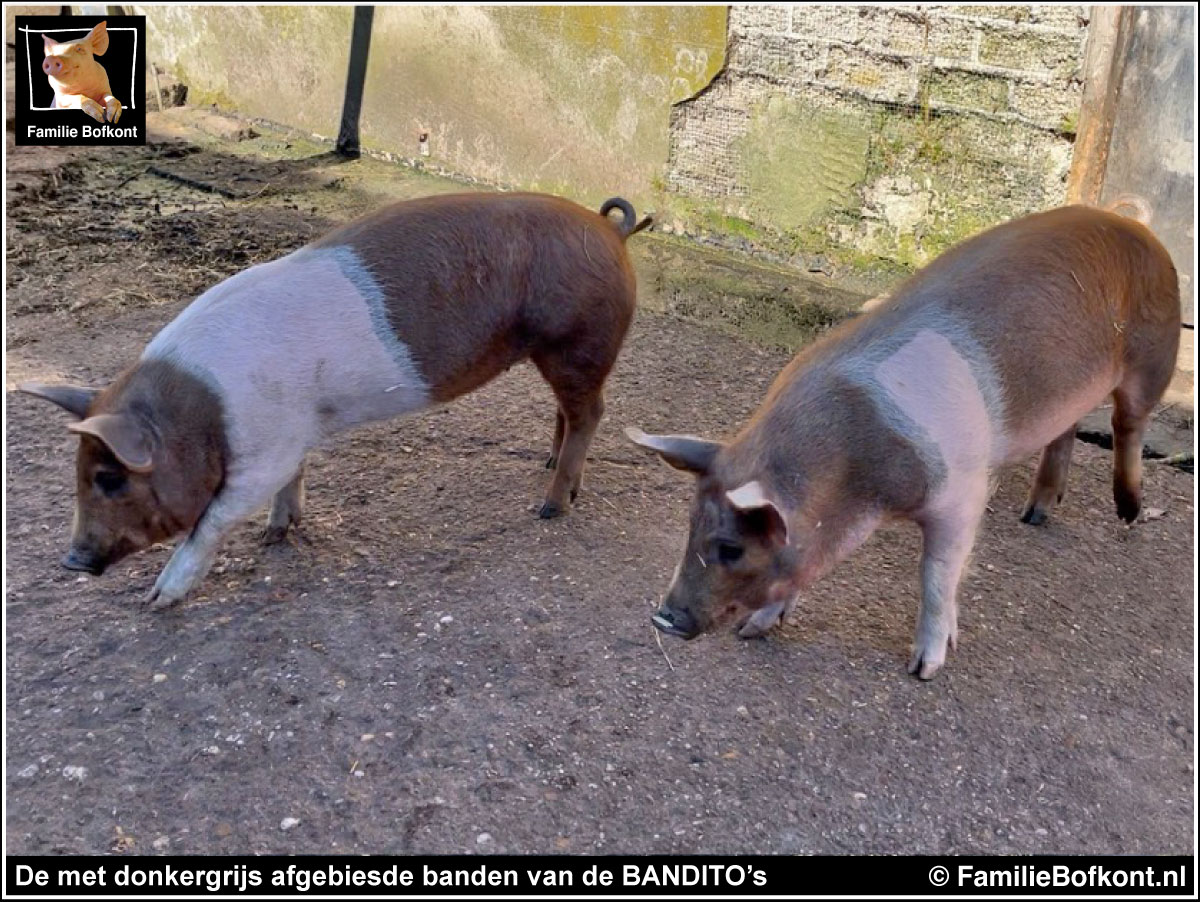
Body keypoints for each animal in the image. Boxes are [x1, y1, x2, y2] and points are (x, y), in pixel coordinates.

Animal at [18, 194, 648, 609]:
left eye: (109, 478)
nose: (72, 561)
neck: (202, 414)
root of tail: (610, 230)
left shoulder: (263, 451)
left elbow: (214, 519)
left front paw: (156, 600)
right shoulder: (293, 434)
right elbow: (292, 478)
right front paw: (277, 535)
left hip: (578, 341)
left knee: (591, 413)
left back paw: (550, 507)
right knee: (568, 411)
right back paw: (549, 469)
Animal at [628, 207, 1180, 681]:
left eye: (732, 548)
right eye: (690, 525)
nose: (662, 618)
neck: (855, 475)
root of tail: (1134, 224)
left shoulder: (962, 491)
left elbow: (937, 575)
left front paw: (925, 669)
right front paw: (752, 631)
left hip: (1154, 357)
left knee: (1129, 426)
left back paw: (1129, 512)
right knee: (1065, 432)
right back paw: (1035, 515)